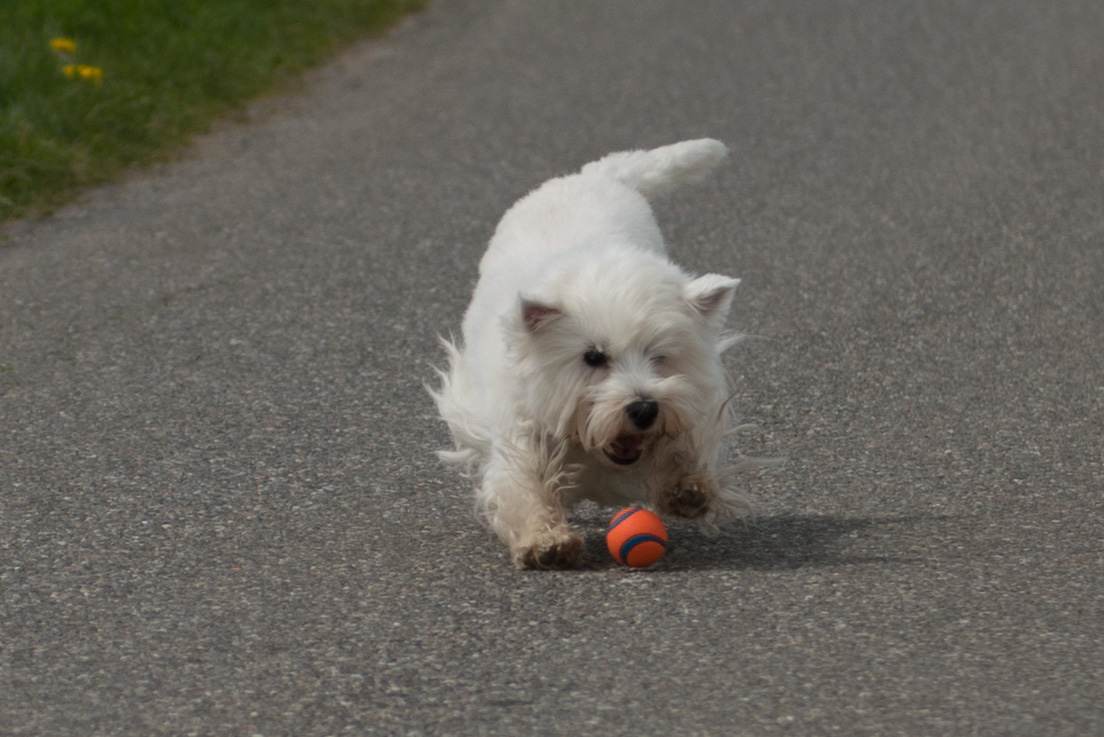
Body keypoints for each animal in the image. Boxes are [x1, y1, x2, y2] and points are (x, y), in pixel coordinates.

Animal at [430, 137, 750, 569]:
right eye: (593, 357)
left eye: (659, 355)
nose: (644, 409)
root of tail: (594, 174)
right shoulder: (519, 428)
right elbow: (521, 483)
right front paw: (545, 541)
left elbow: (685, 443)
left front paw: (688, 489)